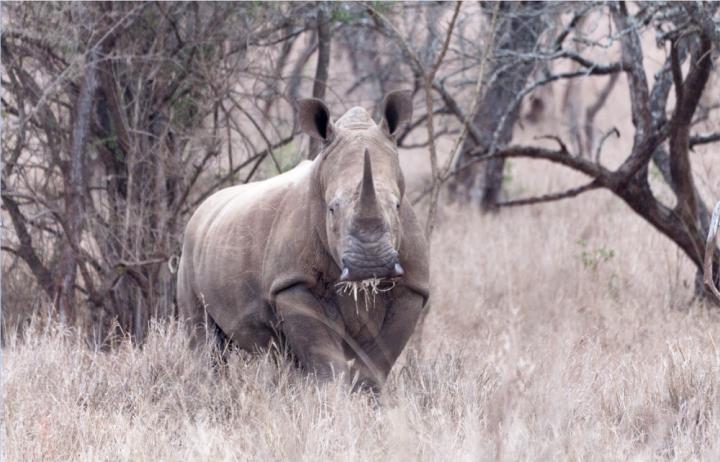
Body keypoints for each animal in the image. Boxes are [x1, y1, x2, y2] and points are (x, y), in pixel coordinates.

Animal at [177, 90, 429, 392]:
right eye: (331, 209)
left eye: (398, 206)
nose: (370, 266)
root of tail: (203, 208)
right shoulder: (293, 282)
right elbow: (324, 359)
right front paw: (332, 399)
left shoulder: (413, 287)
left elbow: (376, 364)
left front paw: (365, 398)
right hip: (189, 250)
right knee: (205, 339)